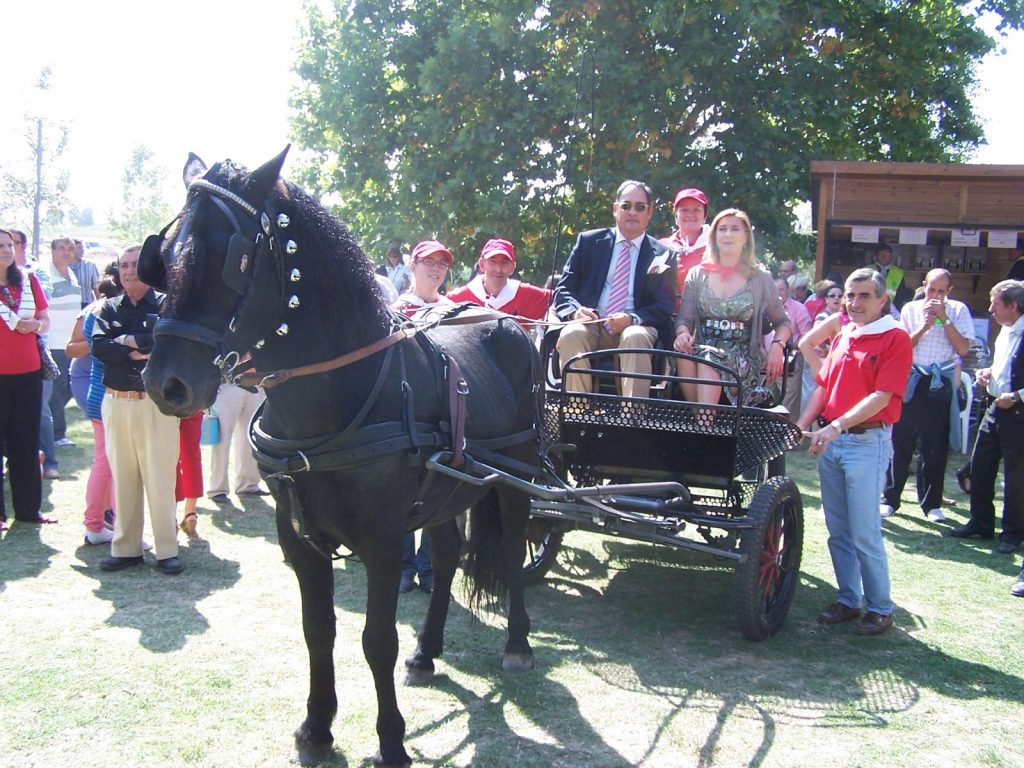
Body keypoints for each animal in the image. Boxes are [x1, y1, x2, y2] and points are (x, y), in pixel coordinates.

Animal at [141, 147, 540, 767]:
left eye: (233, 257)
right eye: (162, 256)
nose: (167, 384)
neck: (341, 397)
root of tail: (507, 321)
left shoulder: (383, 539)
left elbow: (376, 640)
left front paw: (392, 740)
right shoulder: (299, 538)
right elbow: (318, 631)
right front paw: (317, 727)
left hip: (516, 476)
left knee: (516, 547)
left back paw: (518, 644)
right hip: (446, 489)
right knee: (447, 554)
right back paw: (428, 650)